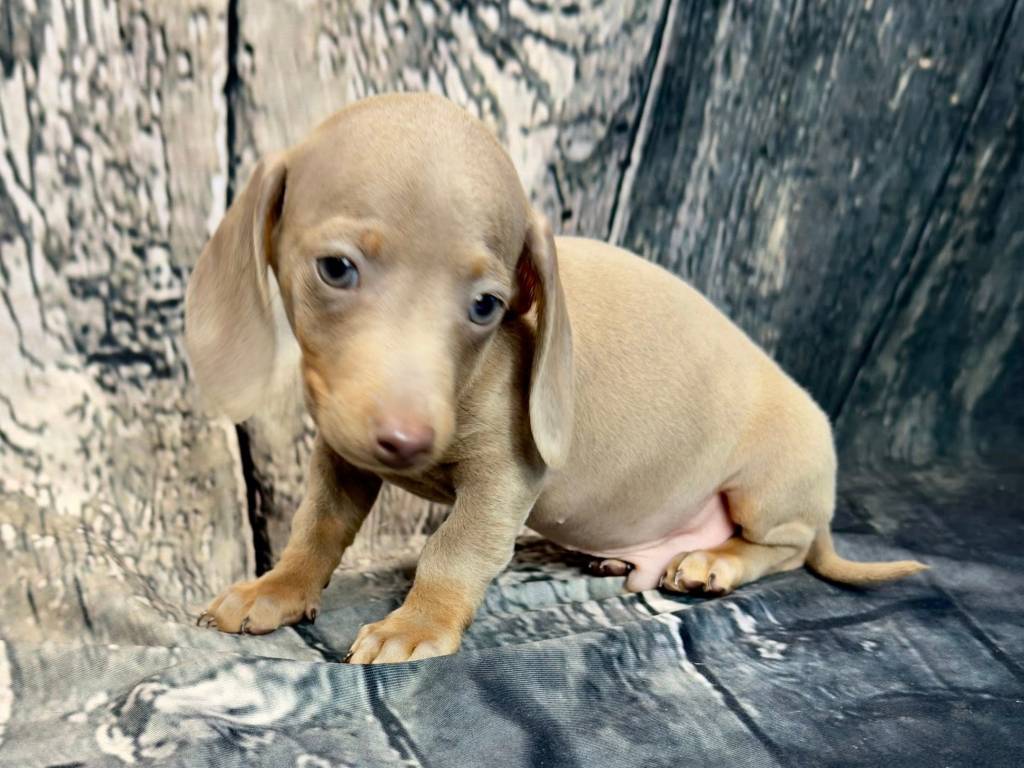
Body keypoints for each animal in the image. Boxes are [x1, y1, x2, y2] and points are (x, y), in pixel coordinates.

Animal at [186, 93, 926, 664]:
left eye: (486, 306)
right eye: (335, 269)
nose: (406, 440)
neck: (470, 374)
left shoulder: (506, 478)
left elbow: (453, 550)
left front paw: (417, 624)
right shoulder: (344, 453)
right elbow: (318, 525)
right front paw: (278, 589)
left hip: (768, 491)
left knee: (786, 547)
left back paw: (717, 561)